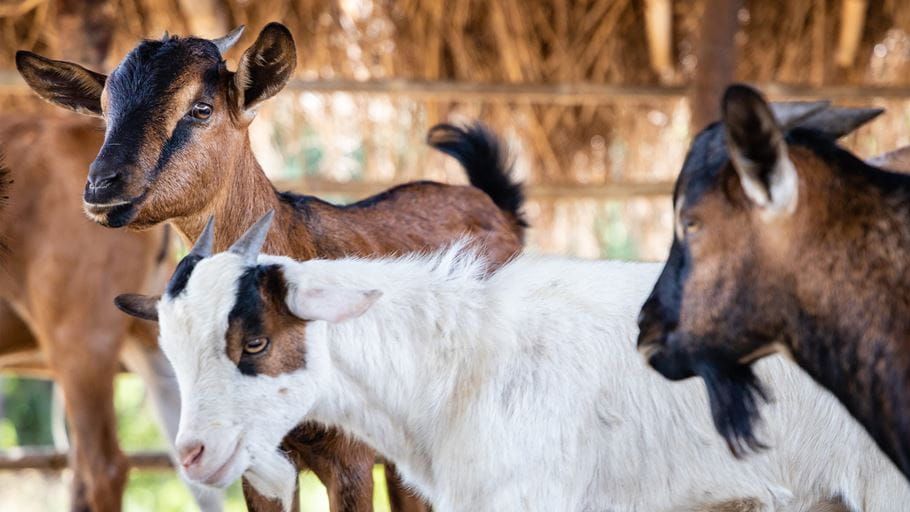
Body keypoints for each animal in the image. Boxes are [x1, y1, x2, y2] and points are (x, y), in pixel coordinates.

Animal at [14, 22, 524, 510]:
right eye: (105, 111)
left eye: (201, 108)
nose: (102, 186)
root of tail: (498, 209)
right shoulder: (253, 459)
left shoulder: (351, 461)